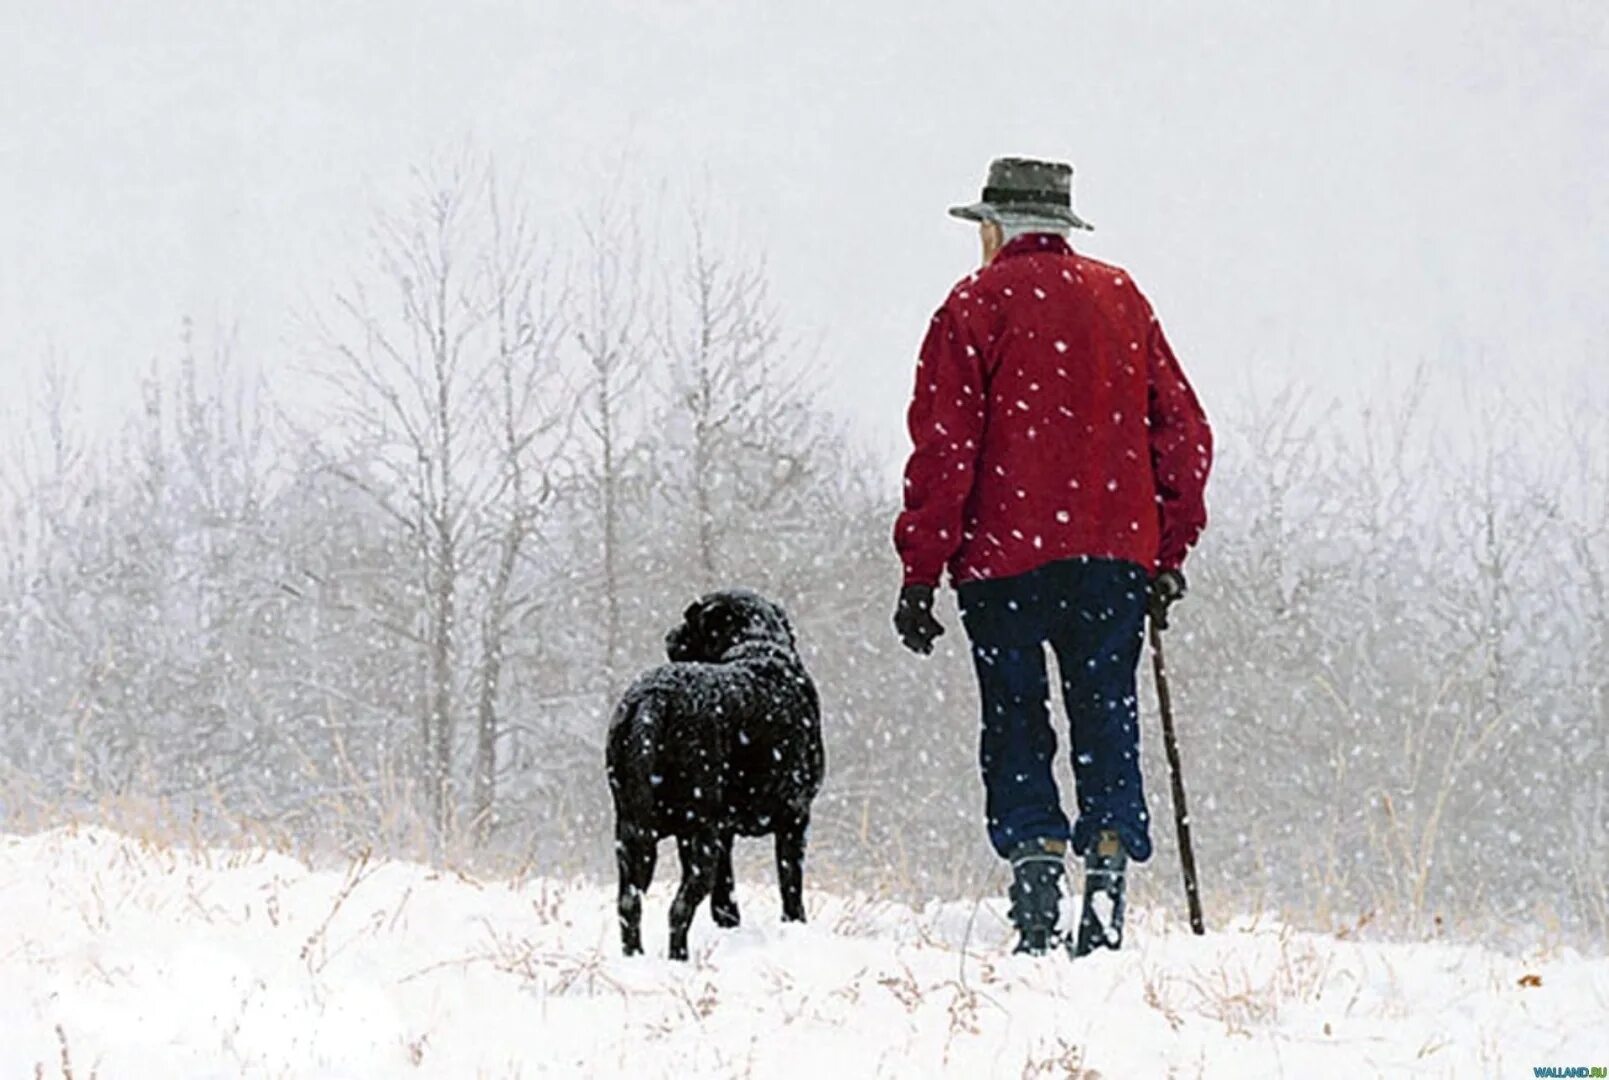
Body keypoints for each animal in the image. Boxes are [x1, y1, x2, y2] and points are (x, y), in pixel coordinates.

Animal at [604, 592, 823, 965]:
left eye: (688, 617)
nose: (669, 635)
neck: (756, 646)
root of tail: (655, 697)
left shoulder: (725, 834)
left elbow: (725, 901)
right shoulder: (795, 818)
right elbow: (790, 886)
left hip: (632, 837)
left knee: (629, 903)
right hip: (700, 836)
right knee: (679, 908)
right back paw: (679, 959)